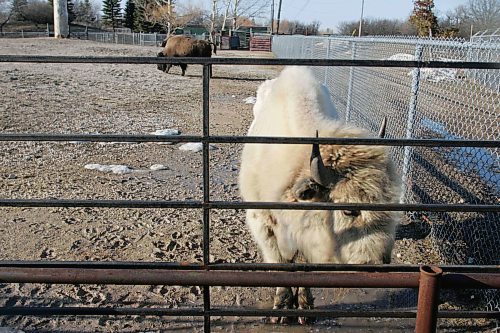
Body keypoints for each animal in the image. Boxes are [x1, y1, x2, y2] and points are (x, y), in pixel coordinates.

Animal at [240, 66, 400, 322]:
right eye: (349, 210)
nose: (379, 262)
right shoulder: (263, 224)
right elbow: (280, 263)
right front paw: (281, 308)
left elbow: (305, 266)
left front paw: (305, 307)